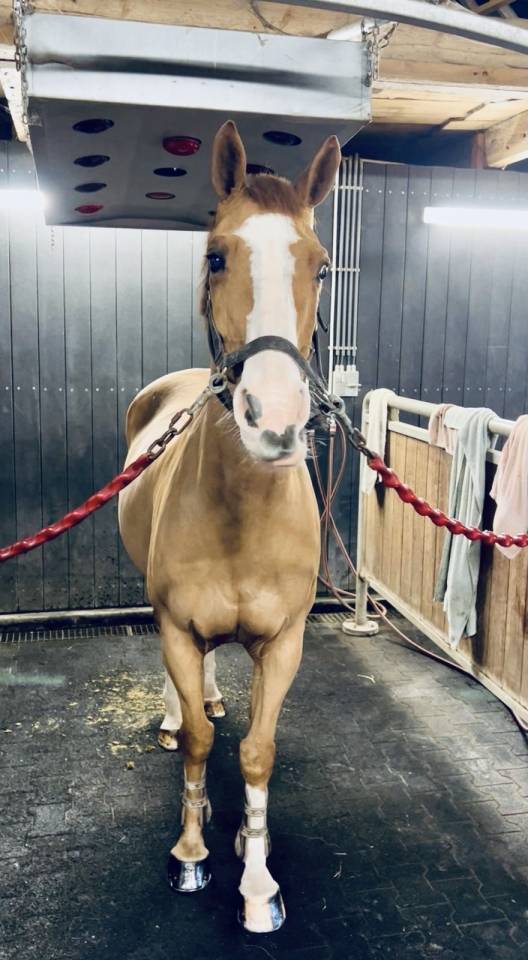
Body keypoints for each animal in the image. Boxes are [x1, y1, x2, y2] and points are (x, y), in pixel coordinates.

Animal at [118, 120, 341, 933]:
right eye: (216, 255)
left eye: (320, 266)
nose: (273, 419)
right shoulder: (179, 627)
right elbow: (201, 742)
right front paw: (191, 853)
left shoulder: (286, 643)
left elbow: (254, 751)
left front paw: (257, 879)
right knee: (186, 703)